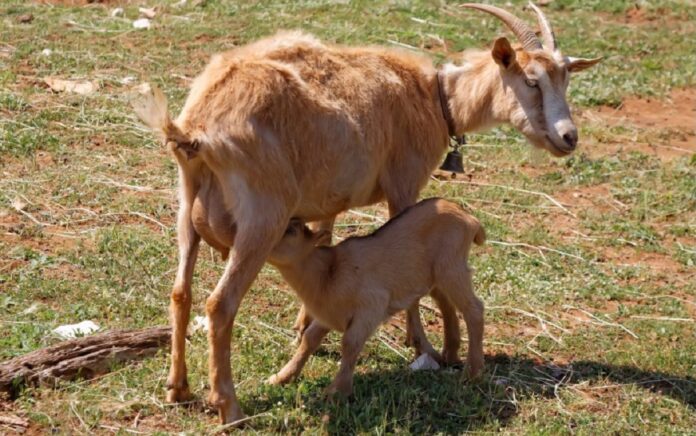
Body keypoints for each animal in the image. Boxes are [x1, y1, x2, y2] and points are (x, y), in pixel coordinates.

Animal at [264, 199, 486, 396]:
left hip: (451, 267)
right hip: (435, 278)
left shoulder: (372, 305)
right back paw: (449, 356)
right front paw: (280, 378)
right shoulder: (329, 315)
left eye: (291, 231)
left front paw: (337, 391)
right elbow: (309, 339)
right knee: (447, 305)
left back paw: (471, 373)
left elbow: (350, 343)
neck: (327, 272)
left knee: (474, 309)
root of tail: (470, 219)